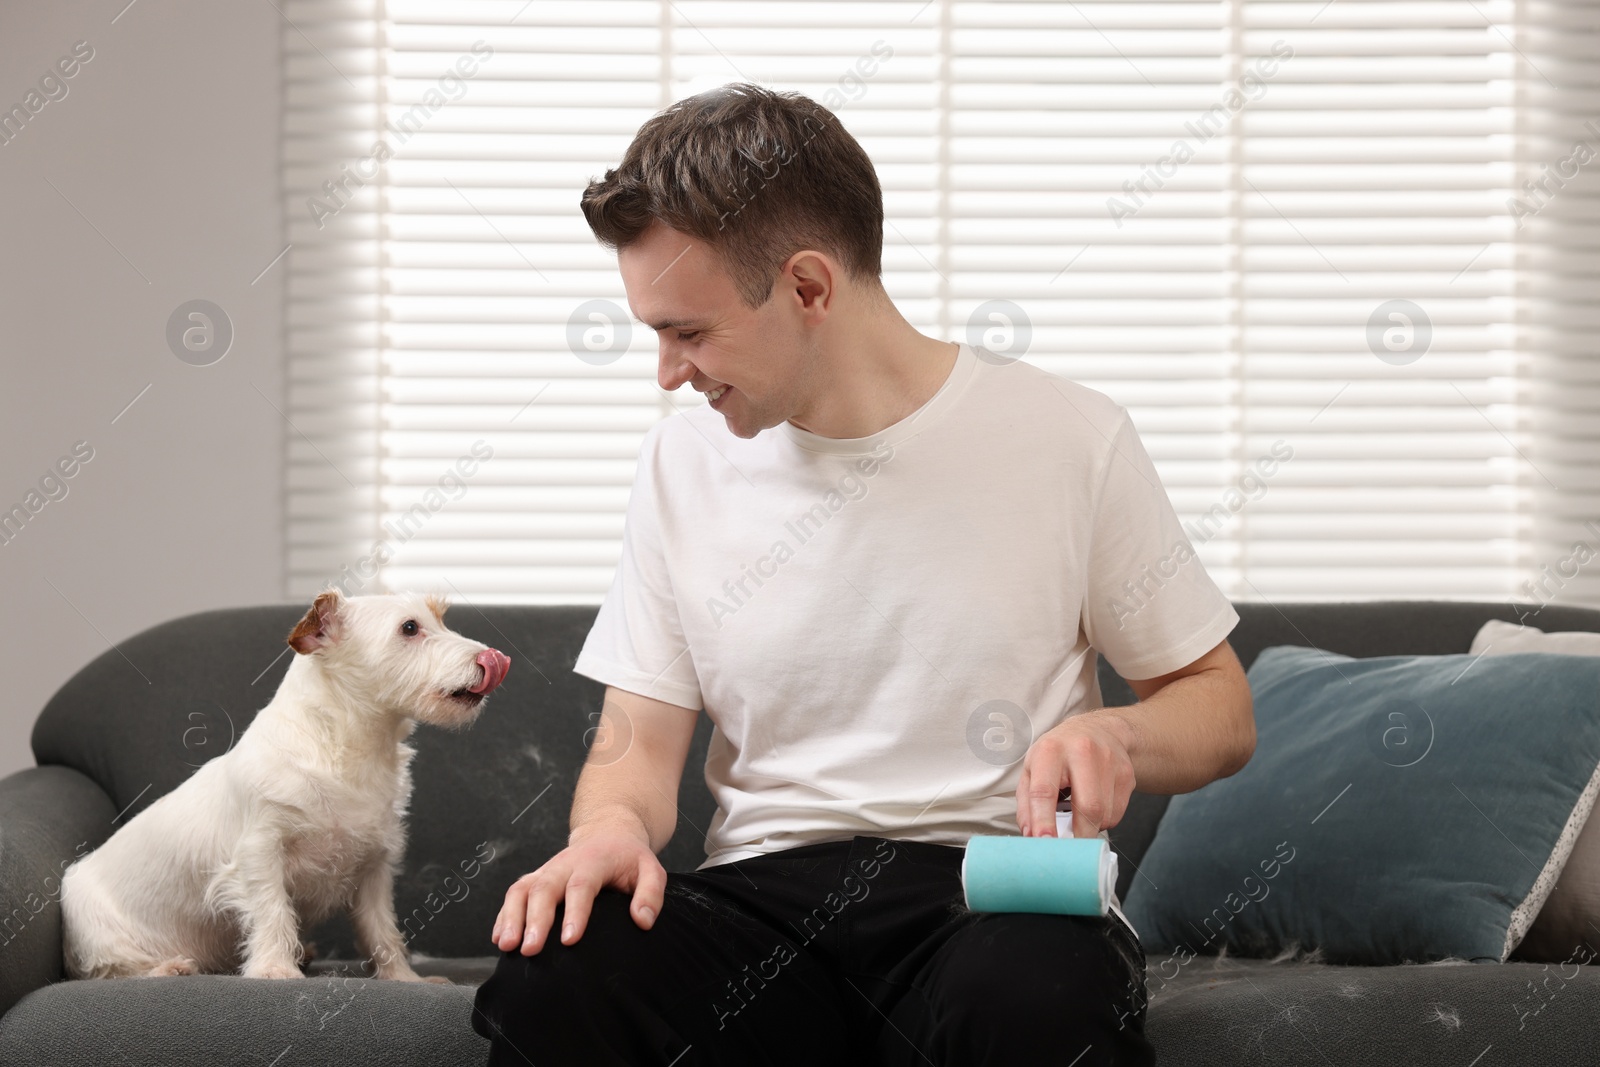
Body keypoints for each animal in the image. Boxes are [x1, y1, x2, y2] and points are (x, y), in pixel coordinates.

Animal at [62, 588, 508, 979]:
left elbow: (382, 930)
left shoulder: (374, 869)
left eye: (441, 619)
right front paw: (276, 970)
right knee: (111, 969)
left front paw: (404, 979)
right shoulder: (260, 851)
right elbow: (272, 910)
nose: (497, 658)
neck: (350, 751)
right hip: (99, 936)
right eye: (410, 628)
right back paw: (168, 968)